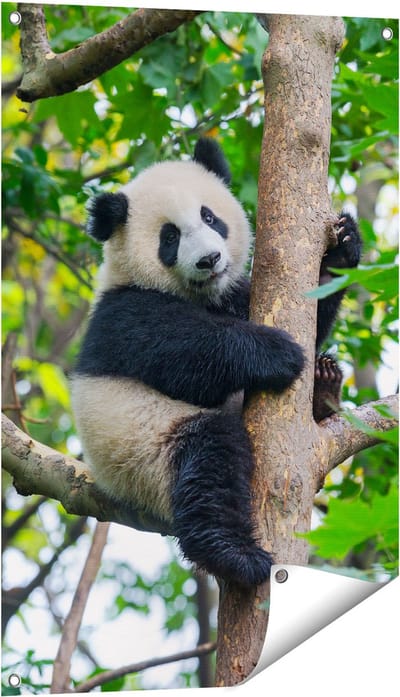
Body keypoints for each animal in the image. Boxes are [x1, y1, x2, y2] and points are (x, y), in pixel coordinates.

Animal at [71, 138, 361, 587]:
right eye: (169, 237)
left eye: (210, 216)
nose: (209, 259)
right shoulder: (124, 314)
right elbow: (185, 355)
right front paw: (277, 353)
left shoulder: (232, 295)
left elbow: (312, 311)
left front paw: (342, 248)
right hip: (144, 452)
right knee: (209, 460)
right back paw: (235, 555)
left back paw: (324, 385)